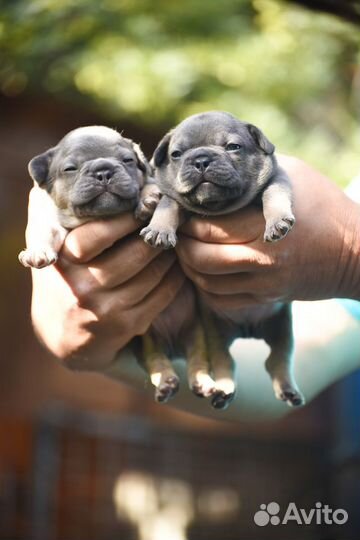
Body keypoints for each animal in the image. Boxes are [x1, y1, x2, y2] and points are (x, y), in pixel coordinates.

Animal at [139, 114, 306, 410]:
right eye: (176, 154)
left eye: (233, 147)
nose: (201, 160)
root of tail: (248, 329)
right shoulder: (175, 199)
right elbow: (167, 206)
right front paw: (159, 229)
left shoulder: (277, 180)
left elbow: (272, 195)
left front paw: (277, 221)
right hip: (216, 333)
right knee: (225, 361)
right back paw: (223, 390)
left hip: (282, 328)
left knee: (278, 359)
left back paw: (287, 389)